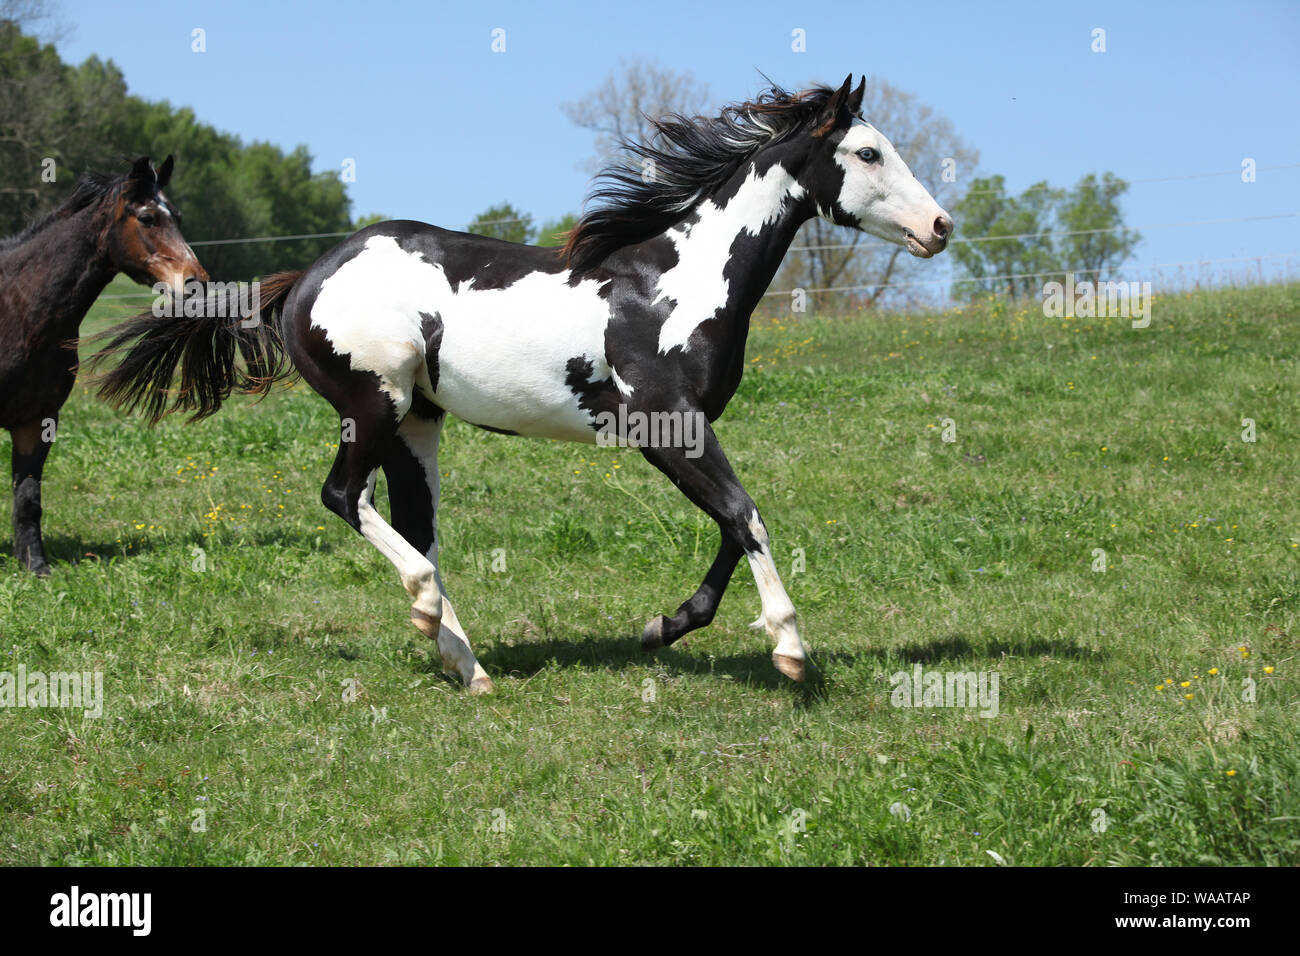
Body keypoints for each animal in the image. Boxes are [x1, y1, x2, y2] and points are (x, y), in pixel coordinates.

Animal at [0, 155, 207, 576]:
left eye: (176, 216)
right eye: (147, 217)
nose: (196, 284)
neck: (19, 311)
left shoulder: (37, 420)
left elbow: (28, 498)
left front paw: (36, 566)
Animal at [92, 77, 952, 693]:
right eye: (868, 153)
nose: (940, 227)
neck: (676, 283)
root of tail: (305, 277)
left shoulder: (687, 429)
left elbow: (730, 530)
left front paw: (665, 626)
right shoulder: (667, 427)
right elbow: (745, 516)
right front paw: (791, 648)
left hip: (418, 425)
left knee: (416, 527)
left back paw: (466, 665)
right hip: (375, 404)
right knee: (346, 499)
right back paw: (427, 609)